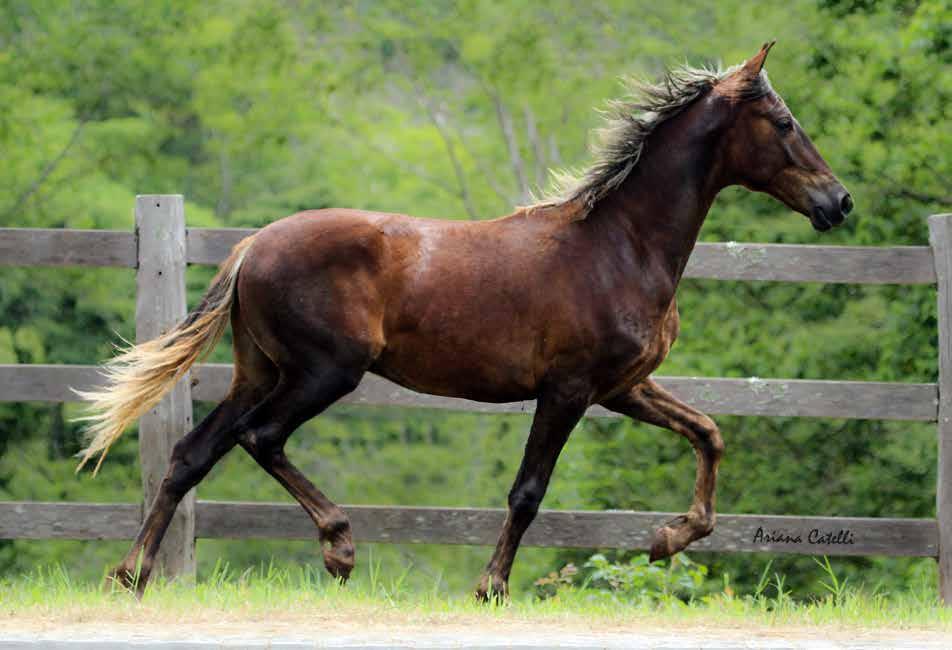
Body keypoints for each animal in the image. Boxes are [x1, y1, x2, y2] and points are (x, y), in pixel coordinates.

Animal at [76, 41, 848, 596]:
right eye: (784, 124)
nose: (838, 203)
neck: (619, 245)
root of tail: (250, 247)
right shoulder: (568, 390)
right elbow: (528, 492)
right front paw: (492, 586)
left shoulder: (623, 388)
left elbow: (709, 433)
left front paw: (667, 538)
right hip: (325, 372)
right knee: (260, 439)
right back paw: (339, 545)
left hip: (258, 372)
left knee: (192, 454)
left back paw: (132, 574)